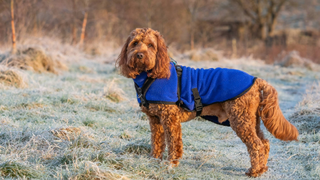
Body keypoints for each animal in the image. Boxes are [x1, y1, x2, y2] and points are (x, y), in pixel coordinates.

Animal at [116, 28, 298, 177]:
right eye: (135, 43)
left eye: (150, 45)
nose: (140, 55)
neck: (150, 76)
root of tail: (256, 80)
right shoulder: (155, 120)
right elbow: (157, 142)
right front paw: (154, 161)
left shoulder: (170, 119)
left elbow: (174, 144)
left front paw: (171, 164)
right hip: (252, 120)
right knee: (265, 143)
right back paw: (262, 169)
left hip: (240, 119)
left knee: (256, 145)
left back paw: (254, 171)